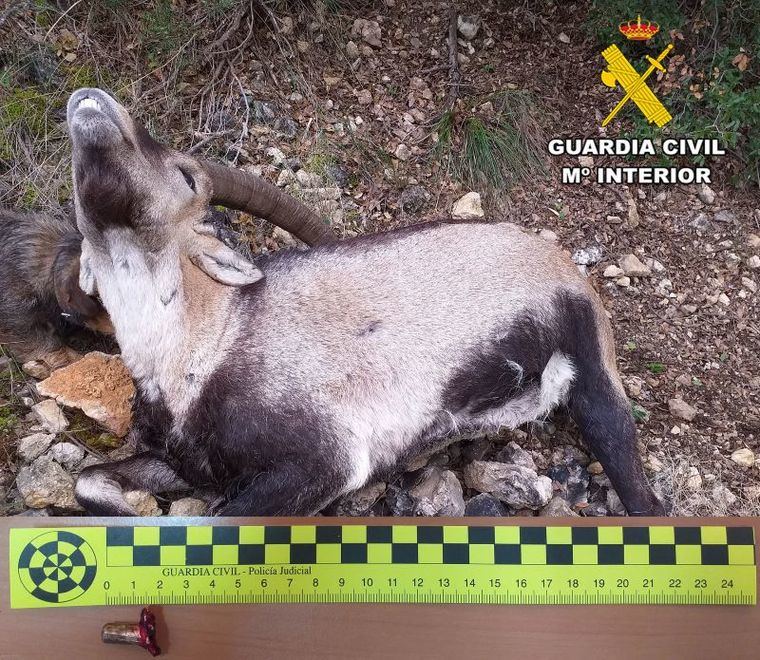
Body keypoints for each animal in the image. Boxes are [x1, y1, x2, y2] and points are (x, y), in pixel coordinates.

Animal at [69, 89, 665, 516]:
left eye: (187, 176)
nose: (90, 101)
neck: (200, 344)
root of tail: (561, 263)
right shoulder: (190, 463)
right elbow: (87, 480)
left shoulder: (324, 460)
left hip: (594, 379)